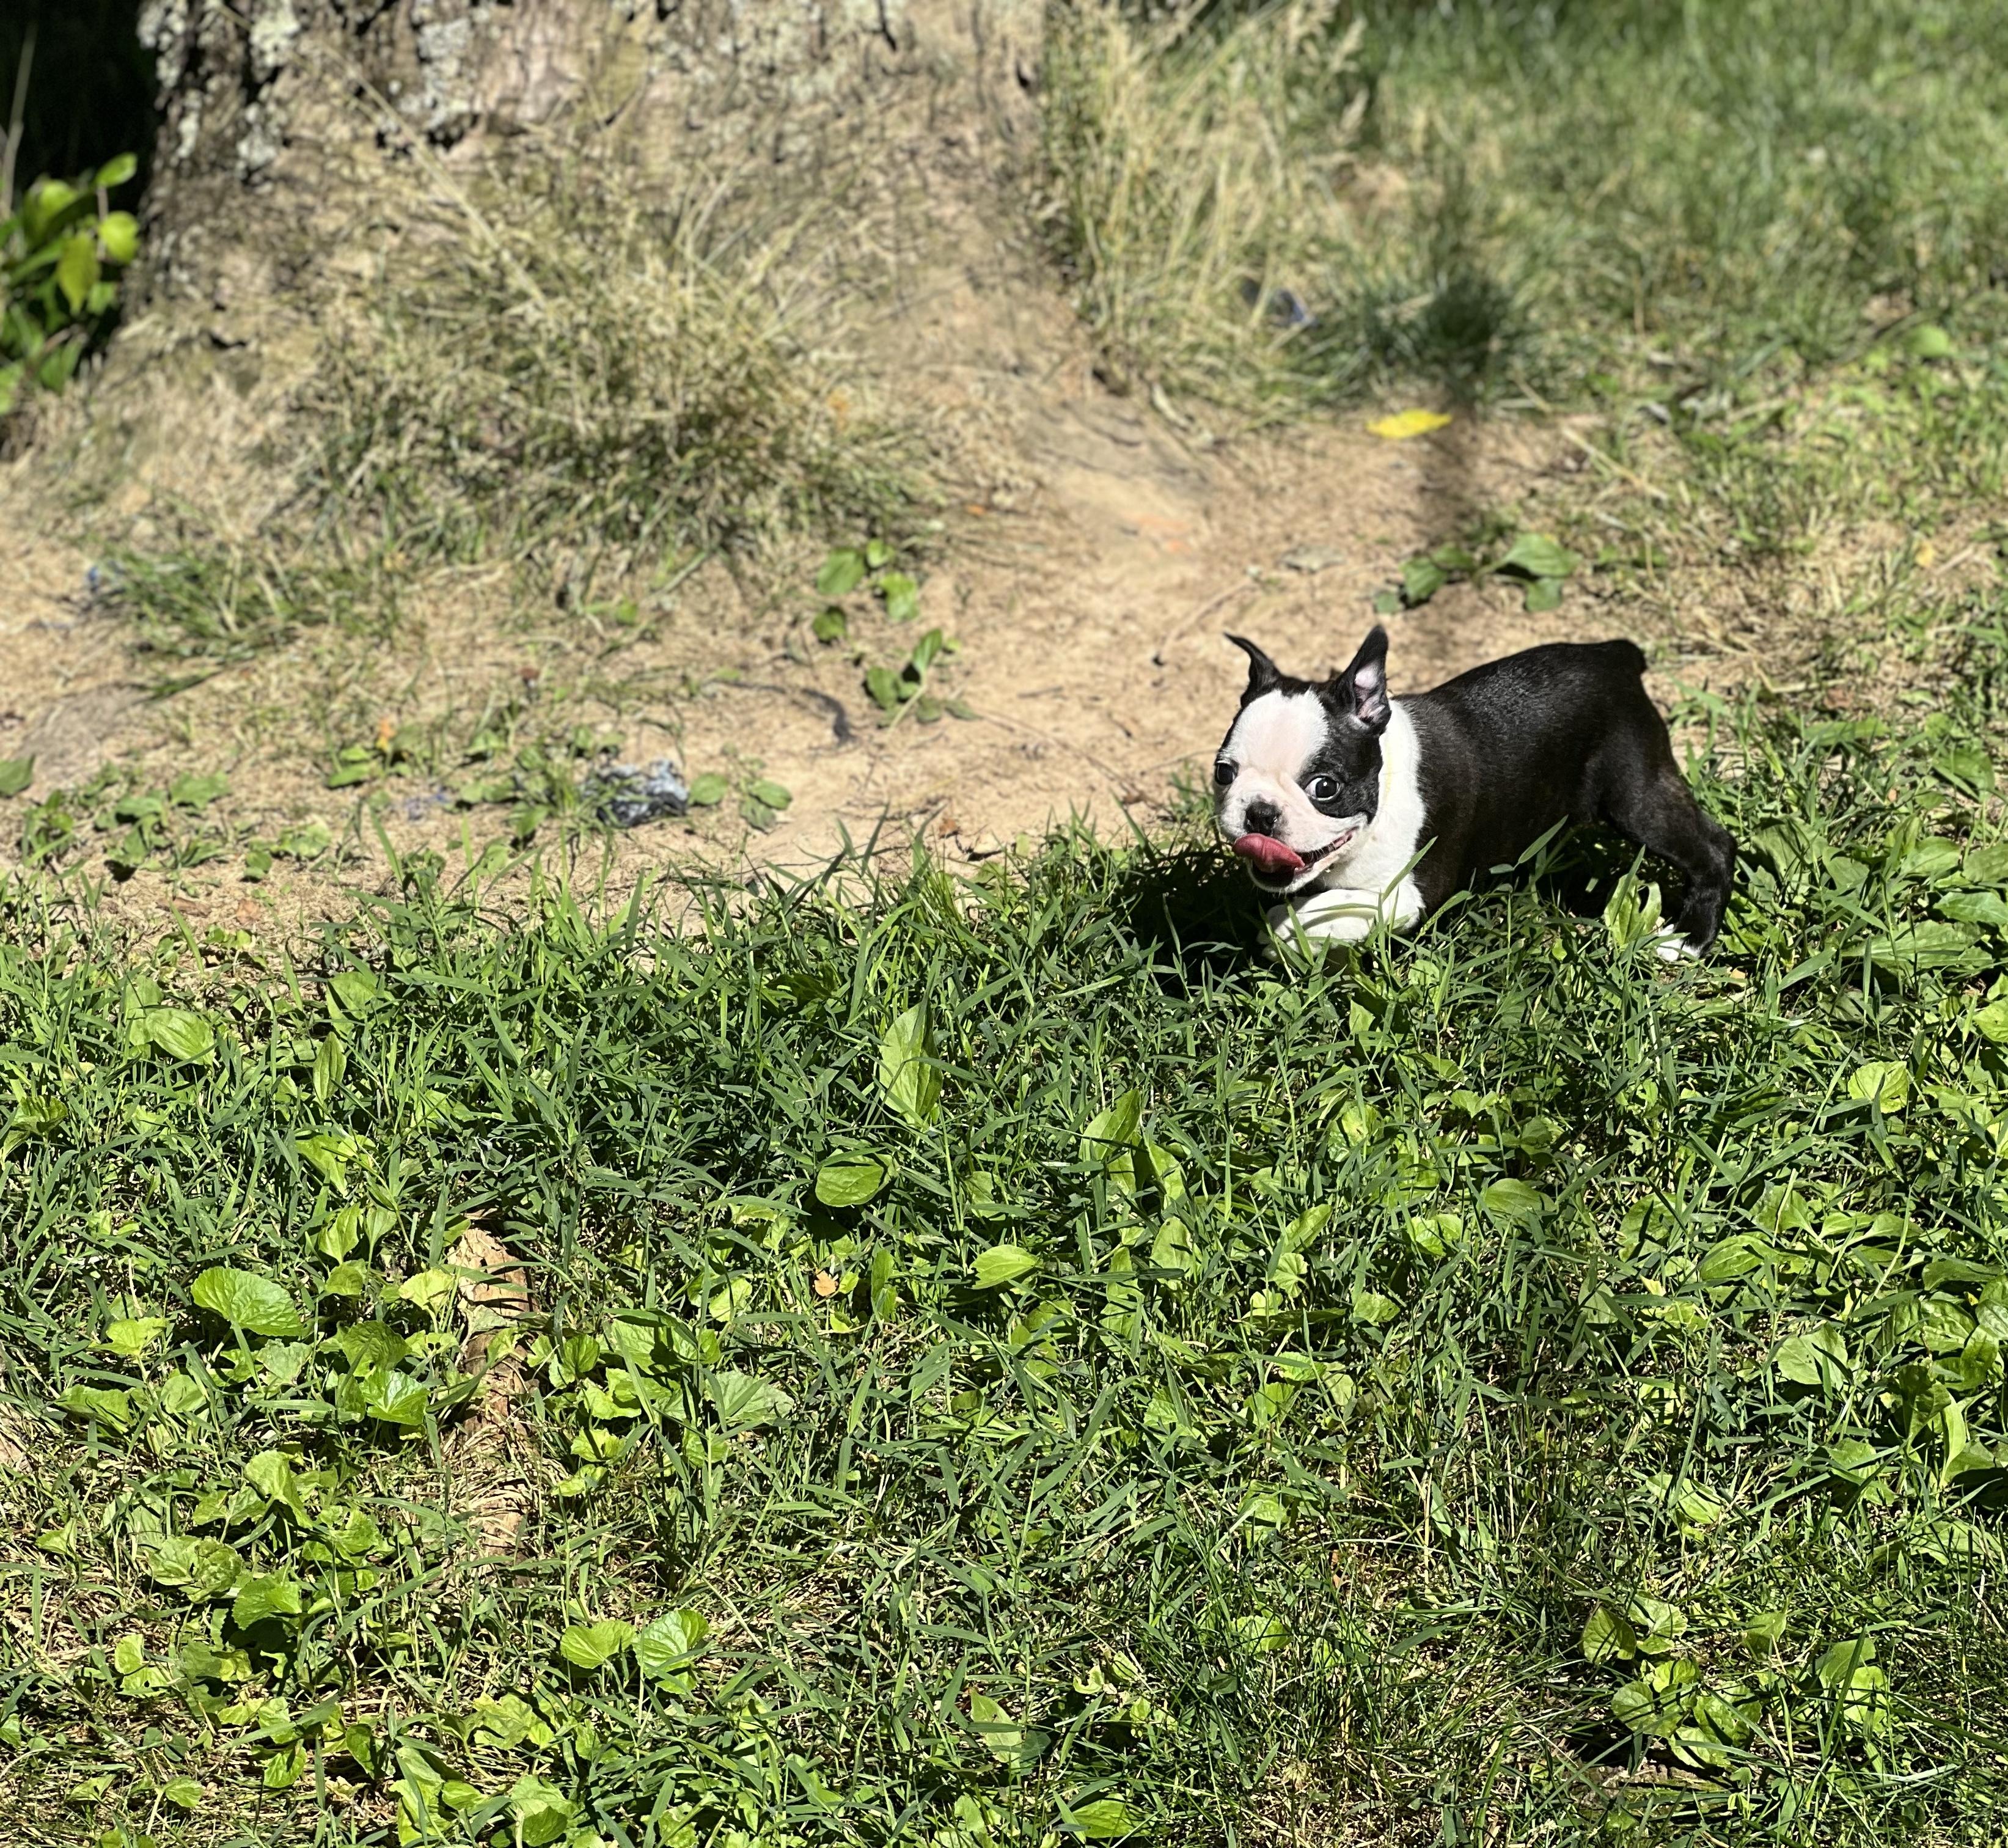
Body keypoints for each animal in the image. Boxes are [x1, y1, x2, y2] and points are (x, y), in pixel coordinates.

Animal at [1212, 626, 1735, 956]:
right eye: (1223, 773)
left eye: (1325, 787)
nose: (1260, 813)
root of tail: (1615, 655)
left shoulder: (1410, 894)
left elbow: (1332, 906)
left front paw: (1285, 929)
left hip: (1636, 796)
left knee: (1715, 845)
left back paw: (1691, 939)